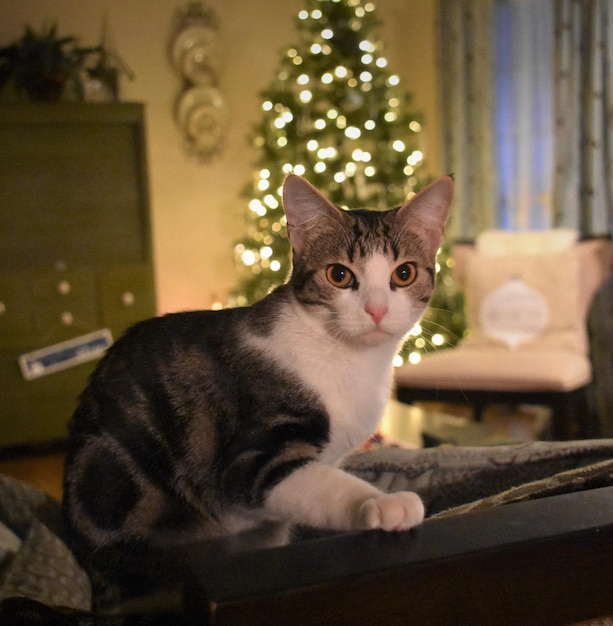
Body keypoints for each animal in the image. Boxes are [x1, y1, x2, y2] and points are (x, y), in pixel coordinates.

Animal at [62, 173, 452, 608]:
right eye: (339, 275)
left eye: (404, 274)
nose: (377, 310)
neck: (349, 359)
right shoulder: (252, 456)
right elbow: (311, 482)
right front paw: (380, 502)